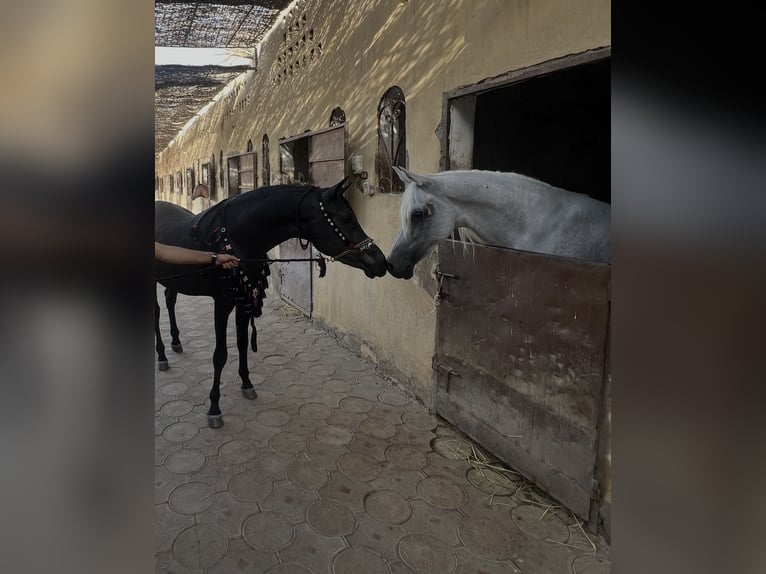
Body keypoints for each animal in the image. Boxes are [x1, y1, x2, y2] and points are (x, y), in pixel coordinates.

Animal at [155, 178, 388, 428]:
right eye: (346, 218)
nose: (381, 262)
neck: (237, 238)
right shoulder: (223, 303)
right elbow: (220, 355)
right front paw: (214, 407)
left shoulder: (243, 300)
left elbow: (242, 344)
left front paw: (247, 384)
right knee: (157, 312)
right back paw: (162, 356)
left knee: (169, 300)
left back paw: (176, 342)